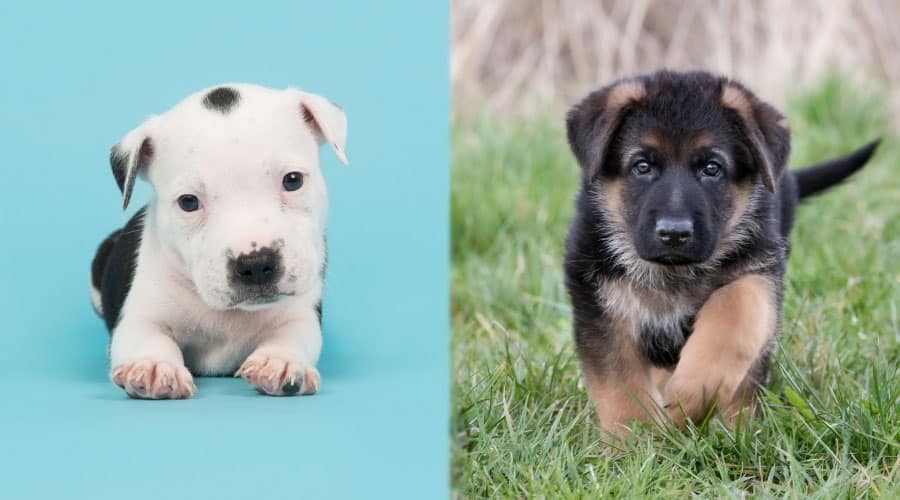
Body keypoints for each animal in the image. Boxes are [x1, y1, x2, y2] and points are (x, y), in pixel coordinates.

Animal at [89, 84, 346, 400]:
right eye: (188, 202)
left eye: (293, 180)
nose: (256, 264)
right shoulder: (140, 316)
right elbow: (148, 336)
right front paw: (154, 365)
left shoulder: (301, 313)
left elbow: (292, 335)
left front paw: (280, 360)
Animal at [564, 69, 880, 434]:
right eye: (642, 166)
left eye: (712, 168)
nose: (674, 233)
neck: (672, 273)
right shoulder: (600, 304)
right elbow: (620, 386)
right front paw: (636, 440)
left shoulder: (759, 269)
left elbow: (734, 315)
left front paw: (690, 396)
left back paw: (737, 427)